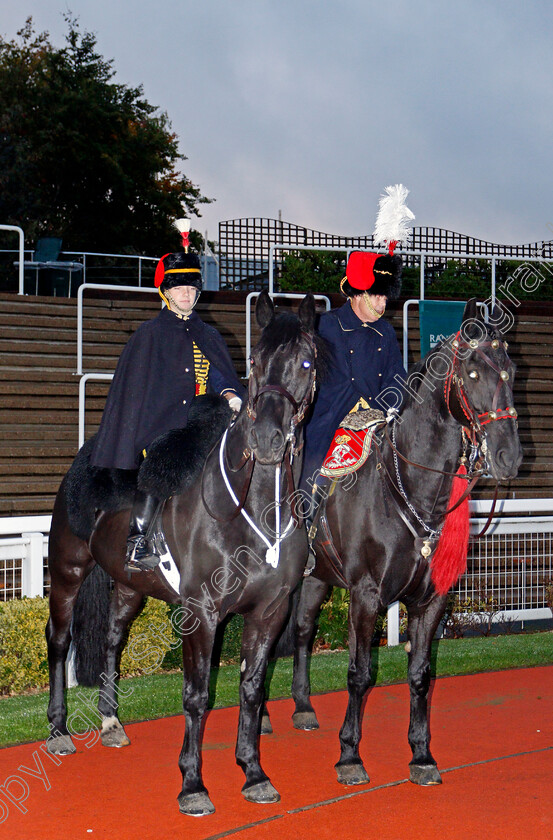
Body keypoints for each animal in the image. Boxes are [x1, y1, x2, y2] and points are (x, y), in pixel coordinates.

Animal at [47, 292, 324, 816]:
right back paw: (56, 731)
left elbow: (252, 689)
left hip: (129, 586)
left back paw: (110, 722)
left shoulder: (270, 611)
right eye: (255, 362)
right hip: (68, 571)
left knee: (112, 638)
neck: (251, 507)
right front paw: (193, 785)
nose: (267, 441)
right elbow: (197, 696)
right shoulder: (202, 612)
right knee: (59, 640)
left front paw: (253, 772)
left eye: (304, 362)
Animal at [272, 300, 520, 788]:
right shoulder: (366, 597)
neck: (408, 489)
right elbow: (359, 674)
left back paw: (304, 706)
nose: (509, 456)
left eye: (511, 370)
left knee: (305, 629)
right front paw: (350, 755)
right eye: (473, 373)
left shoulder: (432, 599)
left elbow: (421, 674)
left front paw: (421, 754)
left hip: (317, 580)